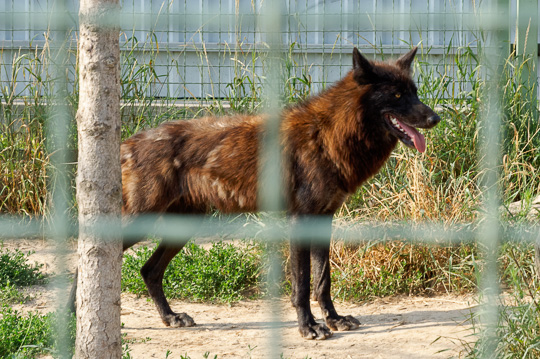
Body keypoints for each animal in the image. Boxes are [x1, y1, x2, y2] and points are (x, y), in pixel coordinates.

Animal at [69, 47, 438, 340]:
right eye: (396, 96)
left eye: (415, 92)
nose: (435, 117)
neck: (329, 133)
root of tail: (128, 142)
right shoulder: (300, 221)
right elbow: (302, 285)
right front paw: (309, 327)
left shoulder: (323, 220)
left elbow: (323, 281)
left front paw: (334, 319)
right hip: (140, 222)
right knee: (91, 256)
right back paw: (78, 315)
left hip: (183, 226)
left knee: (149, 270)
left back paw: (171, 317)